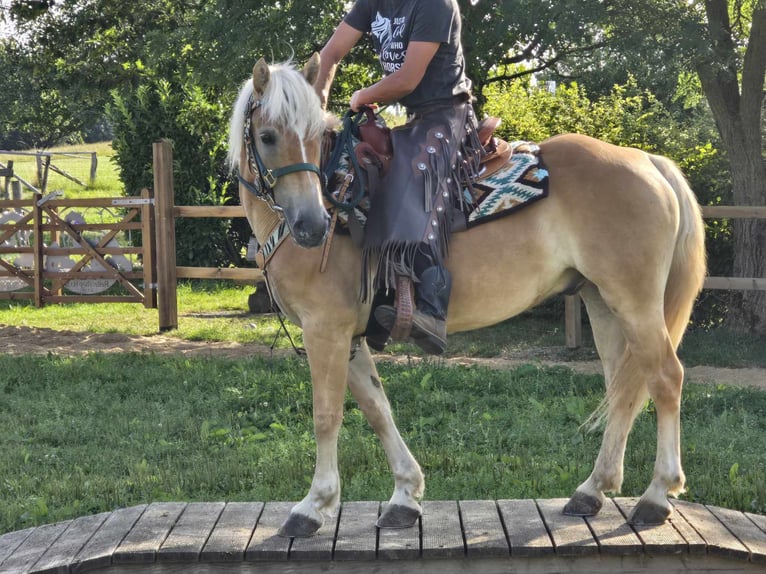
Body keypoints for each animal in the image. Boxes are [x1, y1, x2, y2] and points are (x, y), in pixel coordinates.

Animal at [226, 54, 708, 540]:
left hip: (635, 303)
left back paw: (656, 496)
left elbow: (327, 415)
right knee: (623, 387)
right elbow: (378, 409)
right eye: (268, 137)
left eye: (313, 137)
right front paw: (404, 496)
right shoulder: (350, 336)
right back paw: (592, 490)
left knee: (665, 378)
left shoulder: (325, 329)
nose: (312, 226)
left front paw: (312, 506)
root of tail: (648, 160)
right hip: (602, 302)